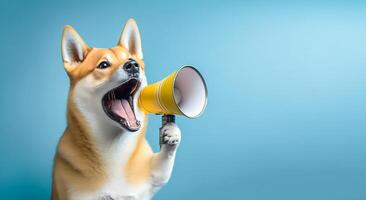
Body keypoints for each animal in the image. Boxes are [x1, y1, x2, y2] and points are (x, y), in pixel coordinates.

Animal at [51, 18, 182, 200]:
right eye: (103, 64)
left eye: (131, 59)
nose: (133, 65)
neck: (114, 148)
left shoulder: (152, 175)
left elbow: (162, 165)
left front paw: (171, 132)